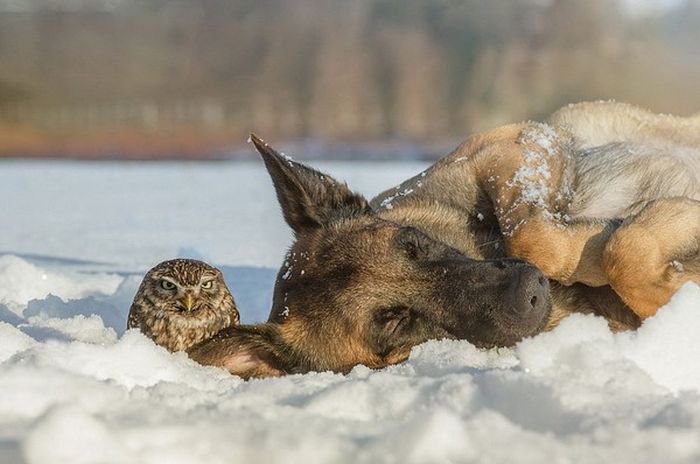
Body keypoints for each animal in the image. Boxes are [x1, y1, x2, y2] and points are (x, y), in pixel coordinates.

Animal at [189, 100, 696, 376]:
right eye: (394, 322)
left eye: (412, 244)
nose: (530, 292)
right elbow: (617, 250)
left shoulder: (512, 145)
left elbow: (539, 239)